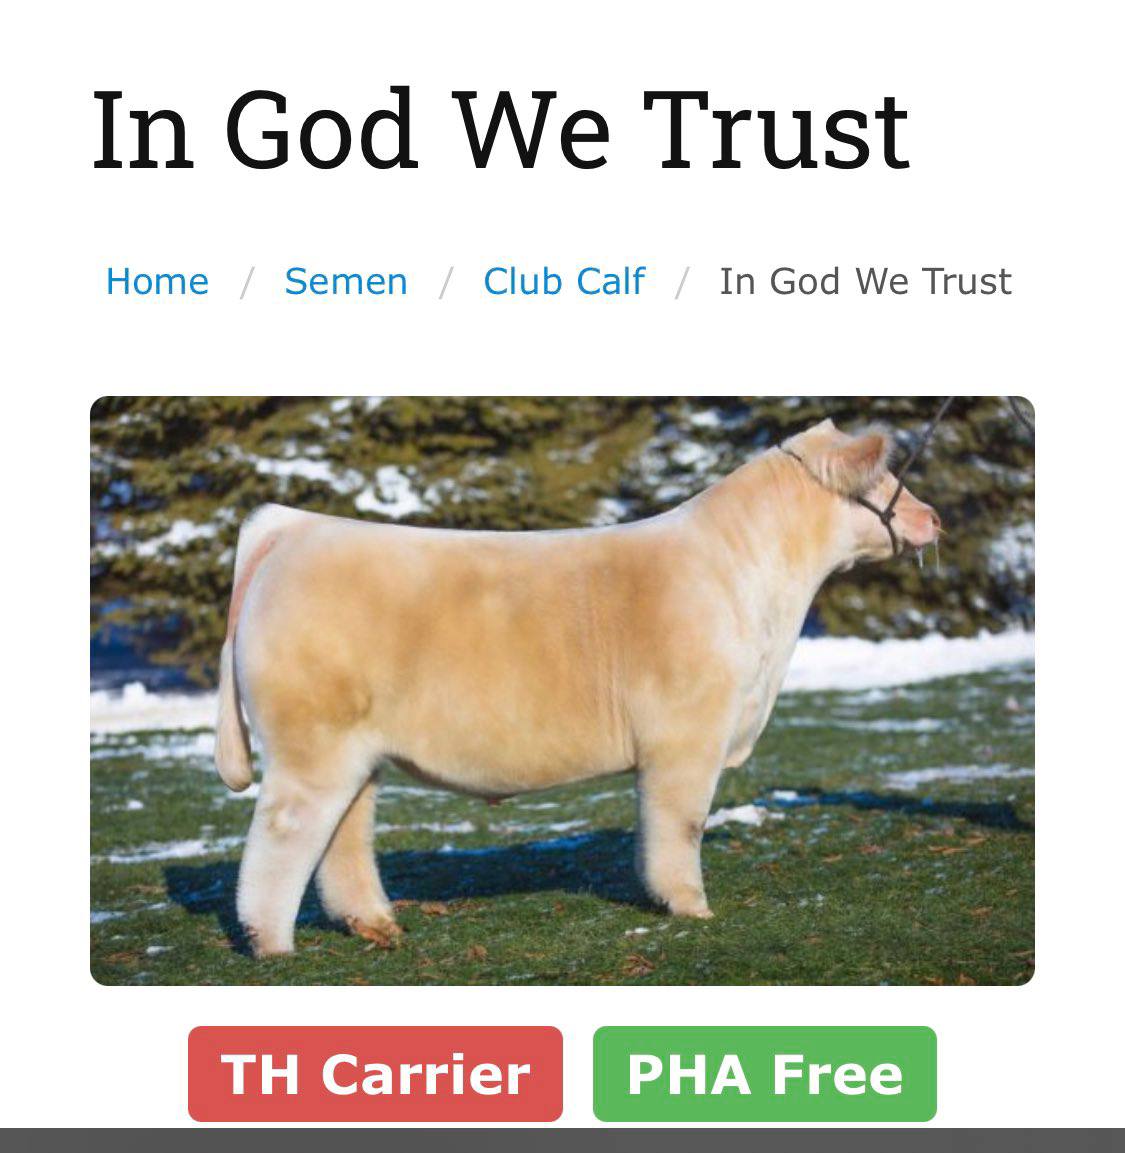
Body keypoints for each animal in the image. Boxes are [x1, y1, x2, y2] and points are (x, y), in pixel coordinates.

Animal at [215, 418, 941, 956]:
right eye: (887, 479)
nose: (932, 517)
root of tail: (296, 528)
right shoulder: (687, 735)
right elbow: (679, 825)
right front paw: (690, 906)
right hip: (312, 749)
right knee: (283, 837)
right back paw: (272, 944)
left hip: (355, 754)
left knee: (343, 837)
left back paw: (376, 924)